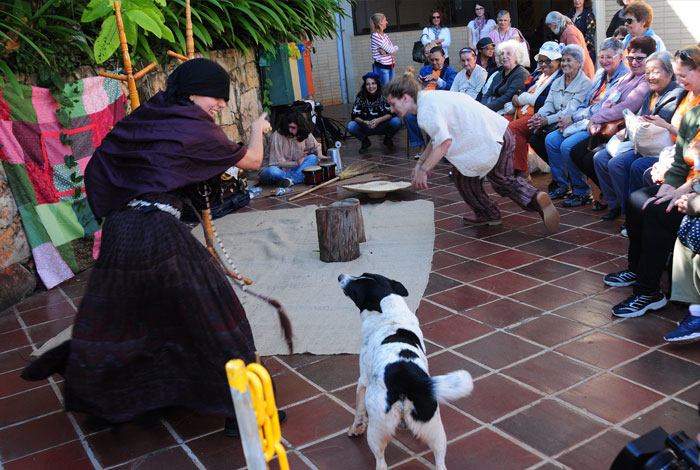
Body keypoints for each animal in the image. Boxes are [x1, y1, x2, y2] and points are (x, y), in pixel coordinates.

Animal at [338, 274, 474, 468]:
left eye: (357, 283)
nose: (340, 276)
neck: (390, 314)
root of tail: (407, 379)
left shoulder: (362, 380)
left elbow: (359, 410)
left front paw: (356, 429)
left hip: (377, 431)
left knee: (381, 462)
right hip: (436, 430)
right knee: (440, 462)